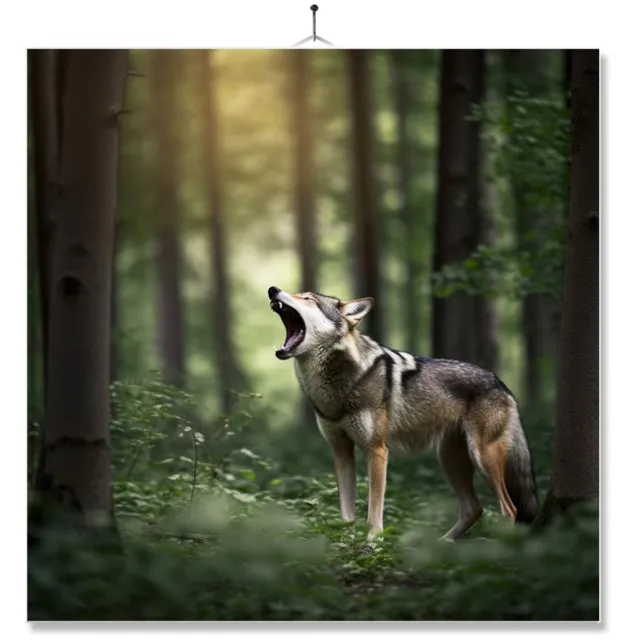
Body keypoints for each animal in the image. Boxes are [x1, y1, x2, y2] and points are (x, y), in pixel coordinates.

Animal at [267, 286, 538, 541]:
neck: (338, 387)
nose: (273, 290)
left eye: (307, 299)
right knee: (475, 509)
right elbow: (346, 513)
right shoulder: (341, 452)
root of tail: (501, 383)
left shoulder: (377, 451)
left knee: (509, 509)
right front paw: (346, 543)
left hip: (481, 457)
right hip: (450, 461)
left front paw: (372, 543)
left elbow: (374, 510)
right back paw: (442, 543)